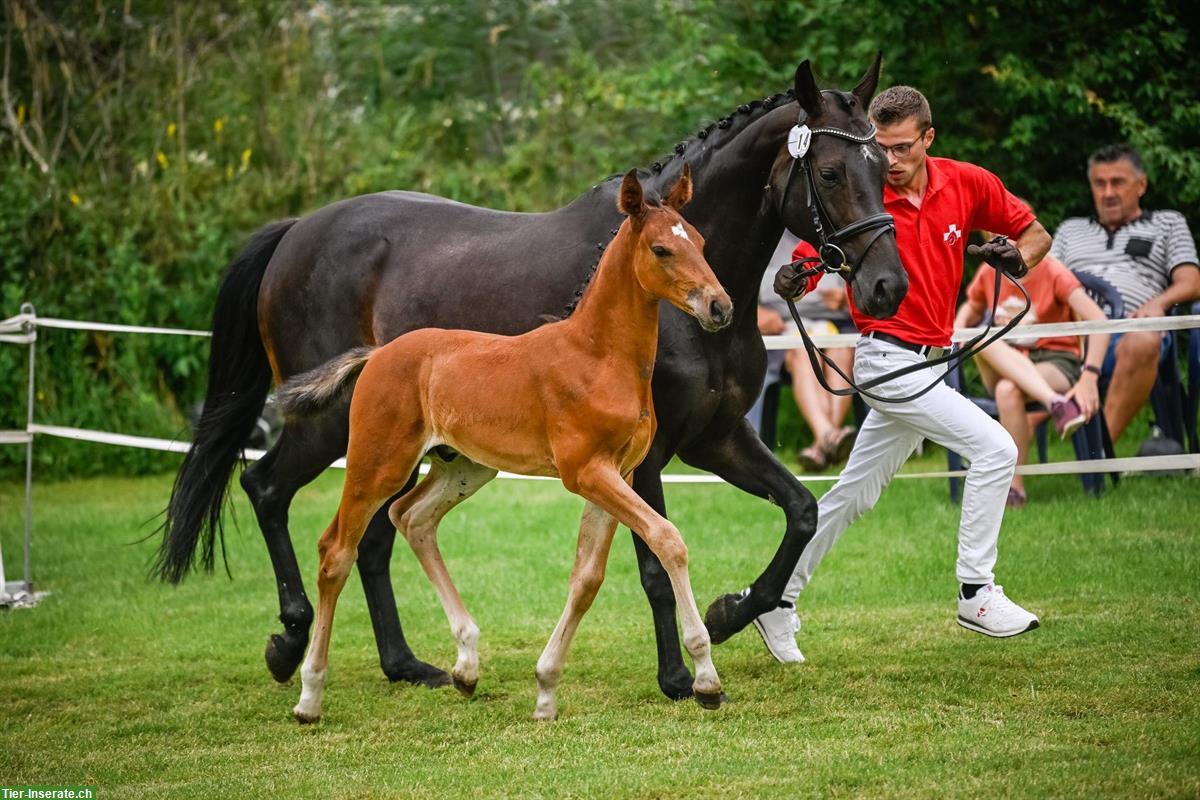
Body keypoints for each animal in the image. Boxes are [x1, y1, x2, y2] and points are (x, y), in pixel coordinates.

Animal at [280, 165, 729, 724]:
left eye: (702, 242)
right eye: (661, 249)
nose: (719, 306)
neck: (598, 355)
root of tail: (377, 355)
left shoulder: (617, 473)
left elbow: (587, 577)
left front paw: (546, 690)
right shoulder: (586, 471)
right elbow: (668, 540)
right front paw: (706, 678)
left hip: (465, 467)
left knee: (412, 518)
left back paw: (466, 666)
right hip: (376, 463)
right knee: (336, 550)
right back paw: (309, 695)